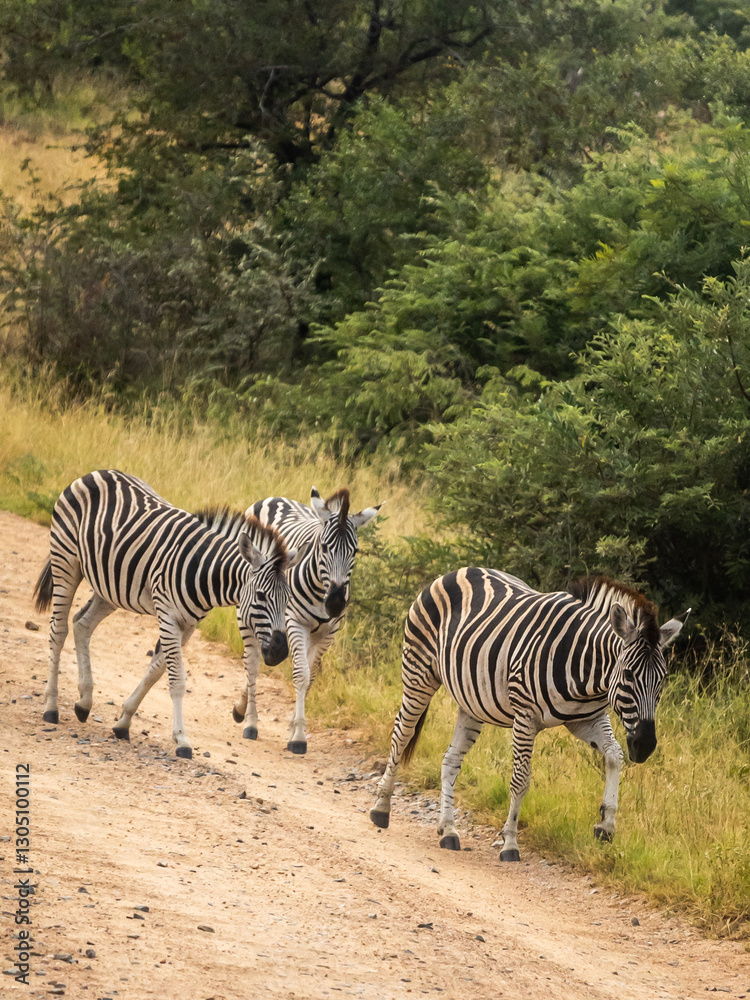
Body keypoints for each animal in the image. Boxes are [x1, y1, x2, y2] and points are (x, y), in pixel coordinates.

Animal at [33, 469, 303, 759]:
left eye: (288, 599)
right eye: (261, 596)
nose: (279, 652)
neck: (203, 571)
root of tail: (97, 472)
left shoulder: (188, 624)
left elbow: (156, 671)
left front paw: (123, 721)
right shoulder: (168, 616)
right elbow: (177, 680)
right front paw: (182, 739)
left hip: (109, 587)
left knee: (82, 624)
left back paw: (84, 702)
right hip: (66, 561)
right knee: (58, 630)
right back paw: (51, 707)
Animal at [224, 486, 382, 754]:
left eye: (356, 551)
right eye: (324, 547)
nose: (336, 603)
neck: (321, 593)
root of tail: (275, 498)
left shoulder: (327, 634)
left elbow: (310, 678)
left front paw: (293, 729)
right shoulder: (294, 622)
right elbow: (300, 674)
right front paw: (298, 737)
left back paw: (241, 708)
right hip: (247, 614)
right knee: (252, 663)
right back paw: (251, 722)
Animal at [370, 568, 687, 859]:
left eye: (662, 679)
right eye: (629, 675)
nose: (645, 746)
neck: (587, 673)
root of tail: (458, 571)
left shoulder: (587, 719)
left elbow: (615, 756)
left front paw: (606, 824)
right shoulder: (525, 717)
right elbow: (521, 779)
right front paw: (510, 842)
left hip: (472, 702)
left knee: (450, 759)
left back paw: (448, 830)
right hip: (418, 673)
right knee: (402, 734)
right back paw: (381, 808)